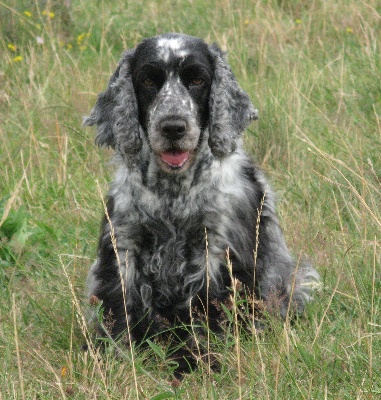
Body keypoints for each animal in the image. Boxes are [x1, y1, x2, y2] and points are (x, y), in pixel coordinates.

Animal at [84, 32, 320, 372]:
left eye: (197, 79)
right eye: (148, 80)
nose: (173, 126)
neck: (174, 192)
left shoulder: (216, 251)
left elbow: (207, 315)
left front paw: (197, 362)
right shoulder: (124, 244)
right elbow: (120, 309)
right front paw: (116, 359)